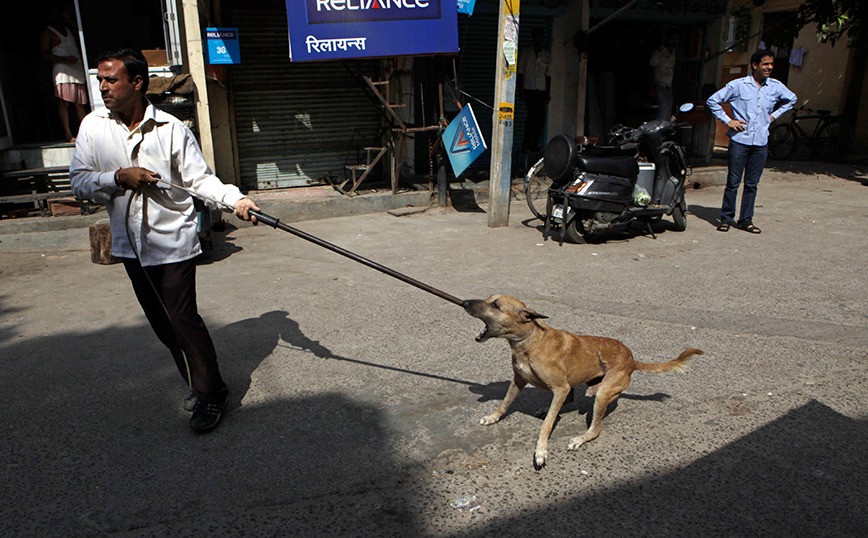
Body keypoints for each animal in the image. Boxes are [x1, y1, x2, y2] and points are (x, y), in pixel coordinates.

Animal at [464, 294, 700, 464]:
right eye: (490, 298)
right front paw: (493, 417)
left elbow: (547, 425)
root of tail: (632, 359)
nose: (465, 302)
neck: (530, 340)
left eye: (495, 305)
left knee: (595, 429)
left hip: (602, 394)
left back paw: (579, 438)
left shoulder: (559, 387)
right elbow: (505, 403)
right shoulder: (519, 381)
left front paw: (541, 450)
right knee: (568, 400)